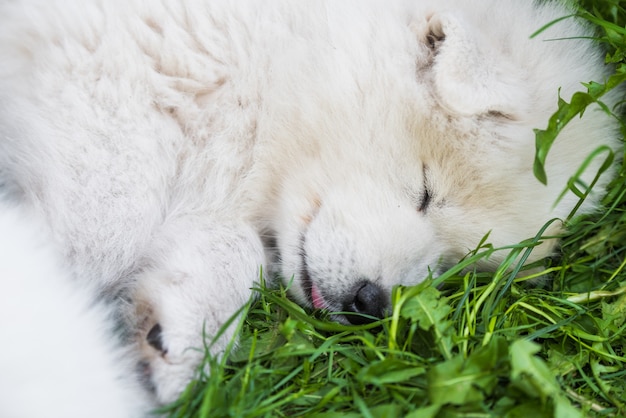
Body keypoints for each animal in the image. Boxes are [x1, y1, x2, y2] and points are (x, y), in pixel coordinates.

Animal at [0, 0, 616, 414]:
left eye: (455, 264)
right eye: (424, 191)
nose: (371, 304)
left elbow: (236, 246)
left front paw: (179, 333)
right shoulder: (104, 110)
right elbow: (102, 221)